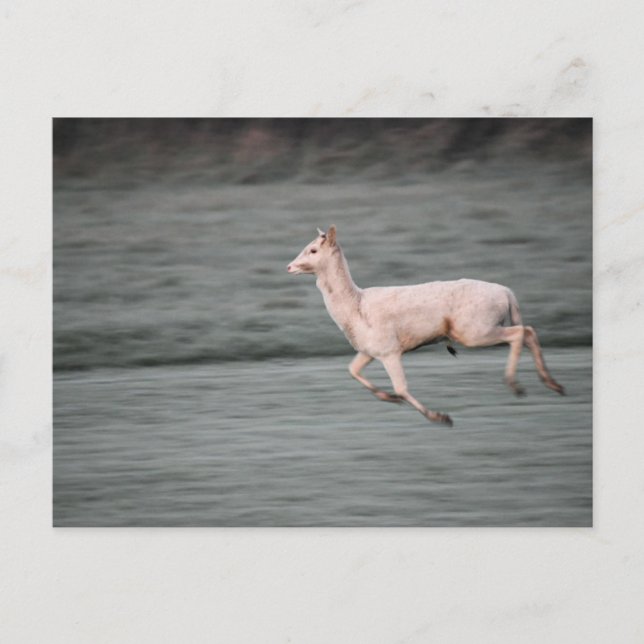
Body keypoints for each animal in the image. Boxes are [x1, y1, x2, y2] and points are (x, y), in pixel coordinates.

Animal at [287, 225, 565, 426]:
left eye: (313, 250)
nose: (289, 266)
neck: (355, 308)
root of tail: (508, 293)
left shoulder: (389, 349)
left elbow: (402, 387)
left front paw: (440, 417)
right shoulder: (369, 349)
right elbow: (352, 370)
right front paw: (388, 397)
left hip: (475, 330)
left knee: (520, 332)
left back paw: (515, 385)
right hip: (479, 329)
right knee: (529, 331)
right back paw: (553, 384)